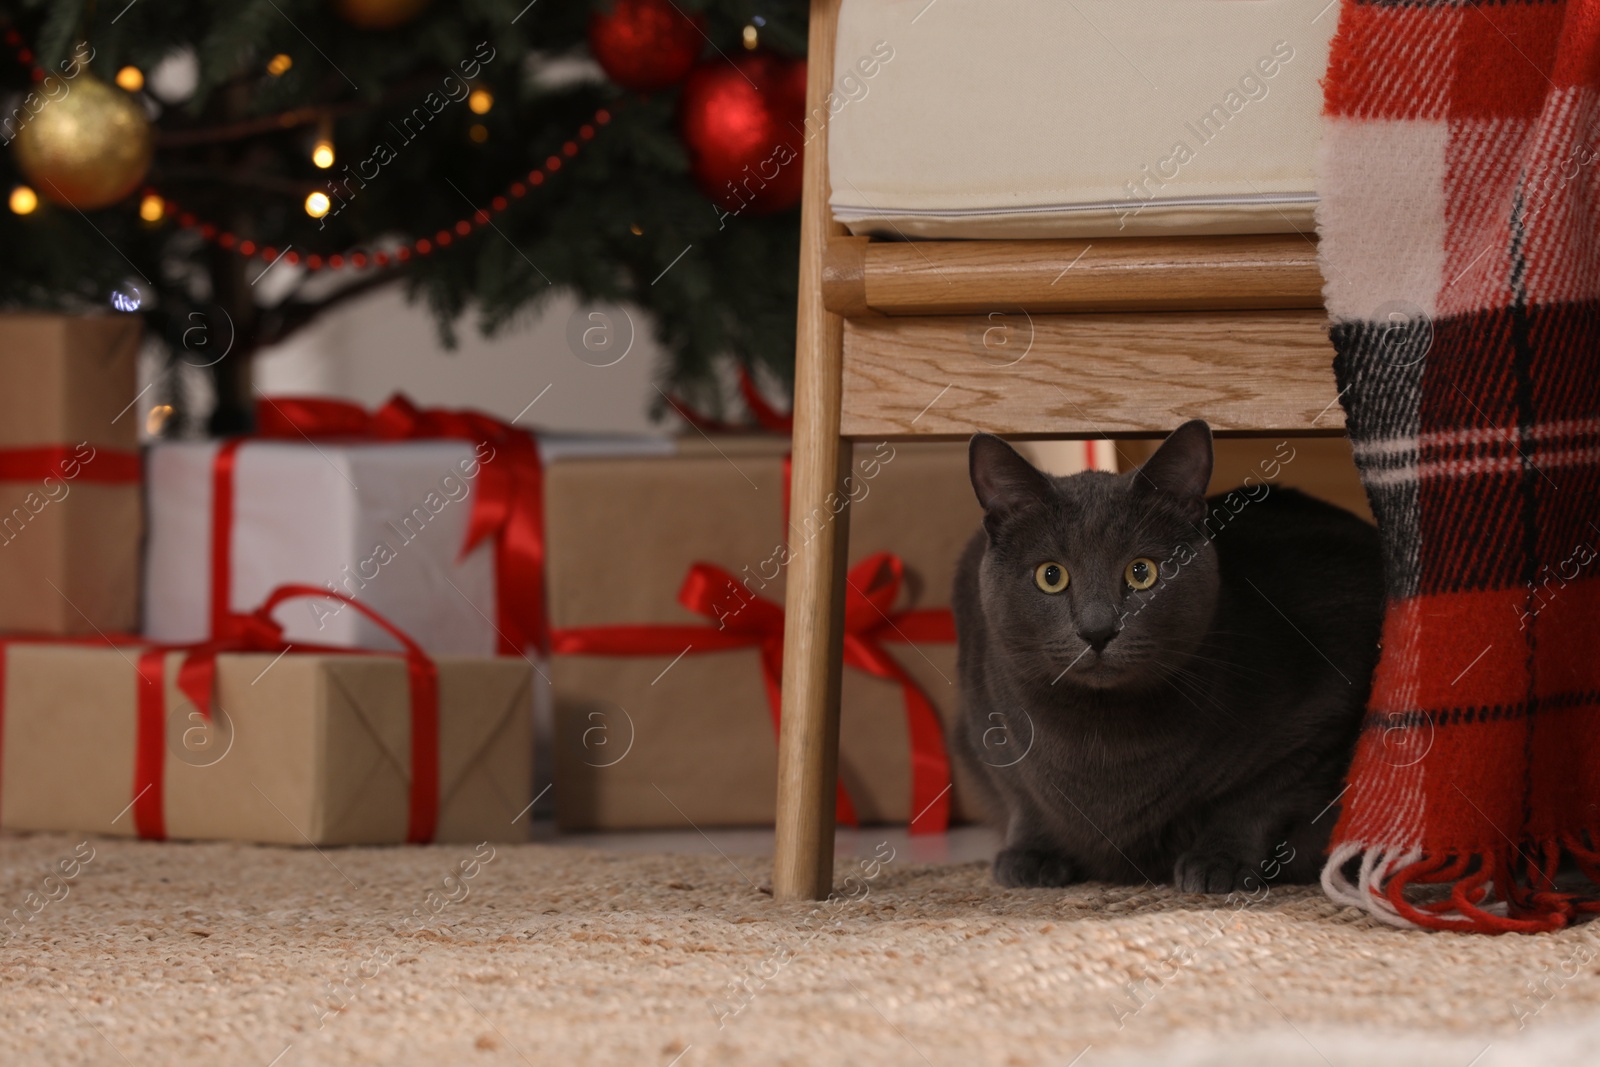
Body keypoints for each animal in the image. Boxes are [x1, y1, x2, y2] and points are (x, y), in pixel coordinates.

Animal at [953, 422, 1382, 889]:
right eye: (1051, 576)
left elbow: (1261, 796)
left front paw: (1220, 859)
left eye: (1142, 572)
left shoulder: (1328, 708)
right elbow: (1018, 791)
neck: (1103, 743)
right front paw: (1030, 853)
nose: (1098, 629)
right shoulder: (981, 718)